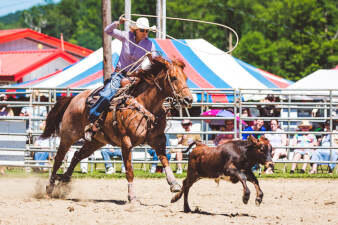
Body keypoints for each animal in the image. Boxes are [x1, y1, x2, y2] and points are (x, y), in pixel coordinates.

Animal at [42, 56, 193, 200]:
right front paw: (132, 197)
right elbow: (129, 171)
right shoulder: (126, 142)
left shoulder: (158, 139)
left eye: (185, 78)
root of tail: (73, 99)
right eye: (173, 78)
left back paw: (64, 180)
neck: (144, 105)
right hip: (68, 136)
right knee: (58, 159)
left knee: (77, 156)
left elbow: (165, 160)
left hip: (95, 142)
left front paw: (174, 183)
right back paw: (49, 188)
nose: (189, 100)